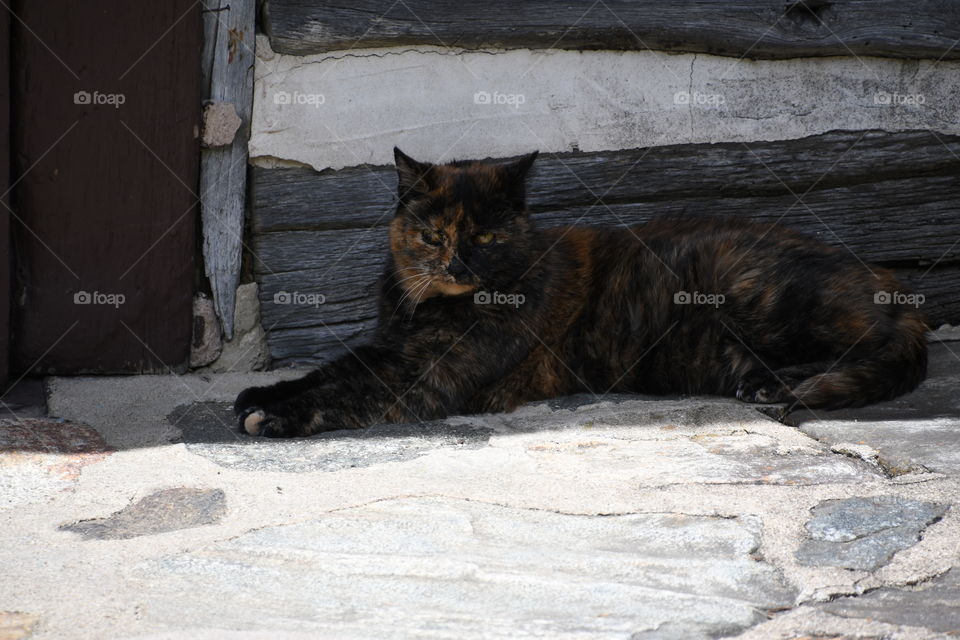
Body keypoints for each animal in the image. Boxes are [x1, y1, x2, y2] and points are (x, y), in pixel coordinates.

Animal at [234, 148, 928, 438]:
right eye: (432, 234)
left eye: (484, 235)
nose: (456, 262)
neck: (428, 307)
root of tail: (890, 284)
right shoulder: (389, 348)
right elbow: (331, 370)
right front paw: (263, 394)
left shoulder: (422, 376)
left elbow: (346, 393)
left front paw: (278, 416)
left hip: (755, 295)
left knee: (858, 353)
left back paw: (773, 386)